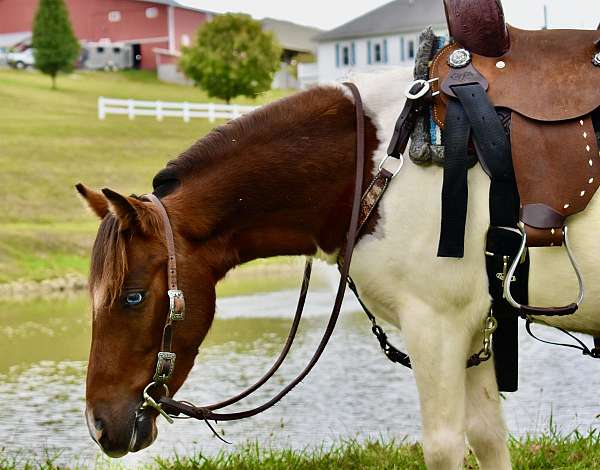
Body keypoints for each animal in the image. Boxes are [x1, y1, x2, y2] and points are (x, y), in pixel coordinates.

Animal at [77, 67, 600, 470]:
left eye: (133, 296)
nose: (99, 426)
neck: (378, 162)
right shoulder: (475, 328)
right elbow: (487, 436)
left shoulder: (436, 327)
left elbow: (445, 446)